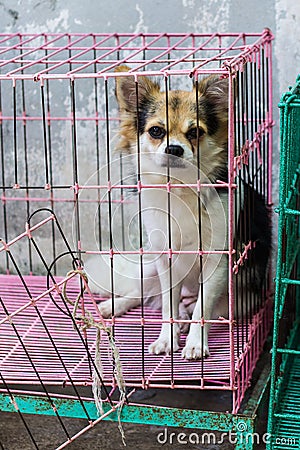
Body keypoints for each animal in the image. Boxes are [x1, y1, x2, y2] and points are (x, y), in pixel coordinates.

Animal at [85, 66, 272, 358]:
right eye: (156, 131)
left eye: (195, 132)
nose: (174, 148)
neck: (180, 188)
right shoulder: (164, 258)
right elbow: (167, 306)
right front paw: (166, 338)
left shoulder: (216, 263)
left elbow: (202, 309)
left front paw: (195, 343)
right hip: (150, 266)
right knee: (147, 294)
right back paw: (114, 306)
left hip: (242, 298)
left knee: (198, 305)